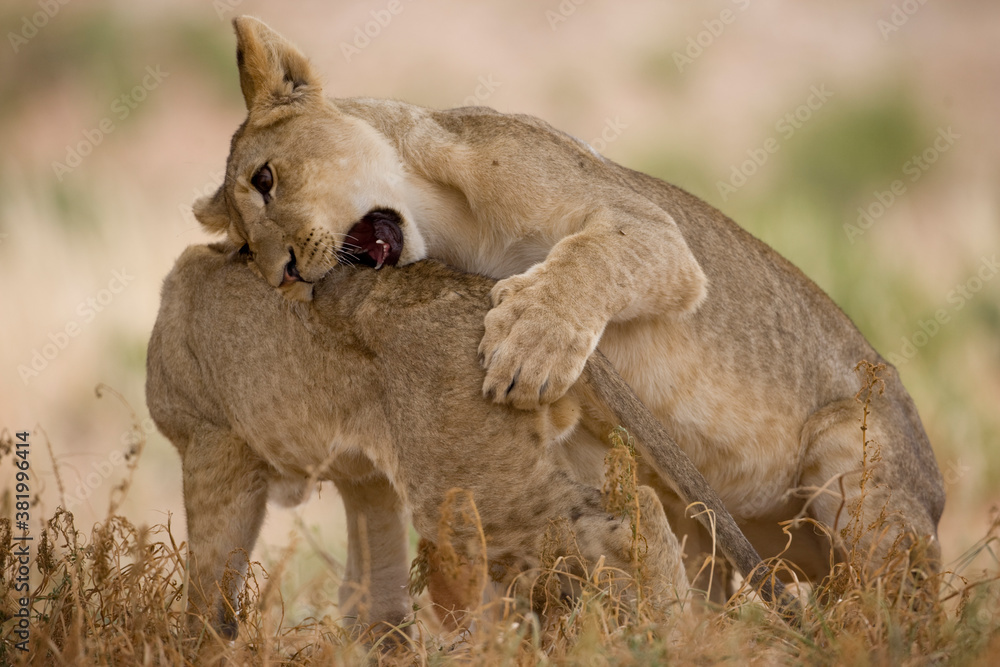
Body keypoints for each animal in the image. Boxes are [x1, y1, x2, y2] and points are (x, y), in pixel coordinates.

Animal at [147, 243, 794, 641]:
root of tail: (490, 289)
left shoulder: (212, 444)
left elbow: (211, 578)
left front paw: (199, 645)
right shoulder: (366, 479)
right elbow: (372, 588)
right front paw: (378, 643)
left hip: (464, 489)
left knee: (633, 513)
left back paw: (671, 634)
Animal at [193, 17, 943, 605]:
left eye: (266, 178)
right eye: (246, 249)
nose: (284, 274)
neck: (450, 223)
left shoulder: (652, 230)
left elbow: (589, 258)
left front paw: (530, 343)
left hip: (854, 468)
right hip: (703, 530)